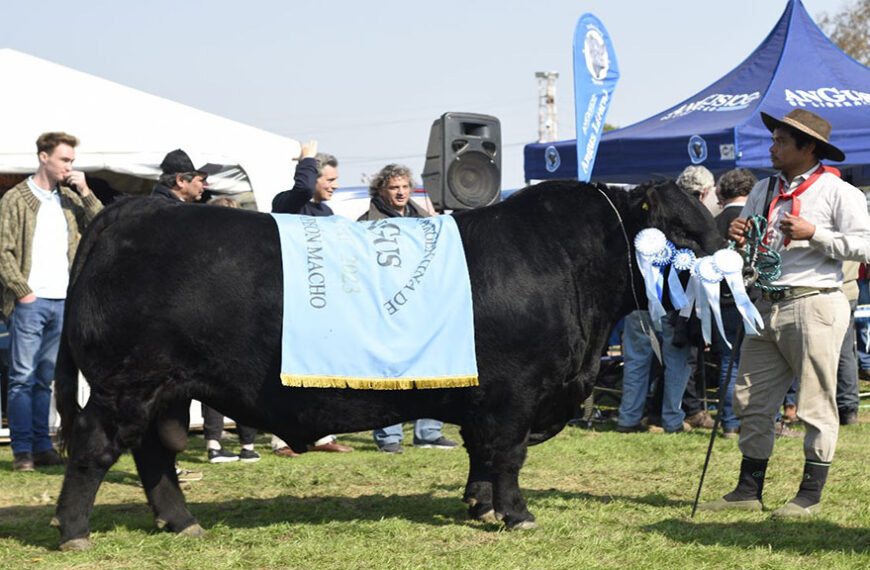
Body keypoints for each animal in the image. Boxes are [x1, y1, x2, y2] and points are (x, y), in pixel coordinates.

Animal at [51, 178, 724, 544]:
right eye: (681, 234)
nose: (727, 257)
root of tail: (136, 209)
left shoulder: (485, 398)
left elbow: (481, 455)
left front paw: (479, 505)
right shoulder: (515, 394)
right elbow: (508, 457)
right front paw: (515, 514)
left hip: (161, 388)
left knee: (152, 455)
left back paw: (181, 521)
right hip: (125, 384)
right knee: (95, 448)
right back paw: (74, 530)